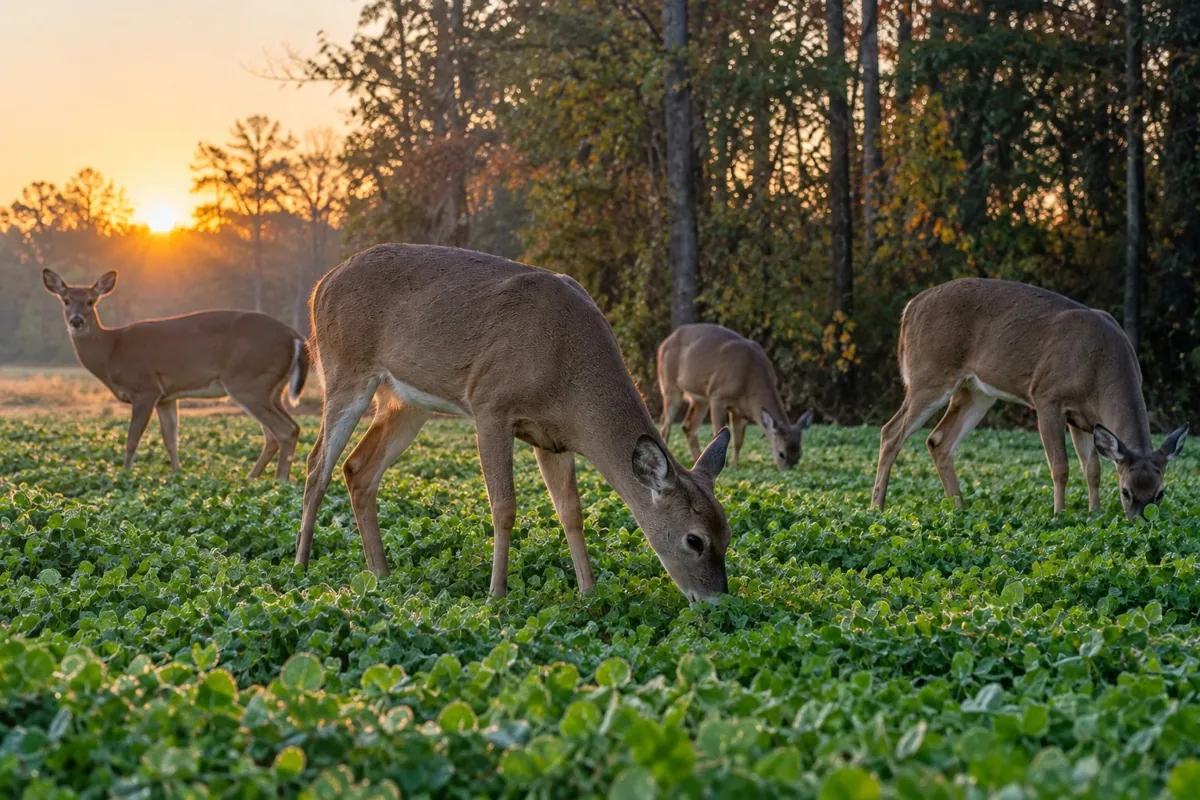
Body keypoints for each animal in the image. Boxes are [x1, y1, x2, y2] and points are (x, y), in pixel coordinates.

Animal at [42, 269, 309, 480]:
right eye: (66, 300)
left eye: (90, 301)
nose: (76, 321)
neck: (112, 351)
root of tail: (295, 337)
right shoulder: (167, 397)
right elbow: (171, 440)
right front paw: (176, 475)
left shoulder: (145, 388)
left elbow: (132, 438)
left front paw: (124, 476)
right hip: (271, 388)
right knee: (279, 432)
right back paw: (251, 479)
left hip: (248, 381)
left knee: (284, 430)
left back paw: (279, 483)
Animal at [294, 243, 733, 603]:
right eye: (695, 540)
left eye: (728, 534)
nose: (716, 602)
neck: (567, 368)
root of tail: (320, 286)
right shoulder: (490, 405)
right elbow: (504, 507)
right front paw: (497, 595)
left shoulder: (552, 438)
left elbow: (571, 512)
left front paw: (589, 593)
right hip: (345, 370)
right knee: (317, 465)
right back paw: (301, 568)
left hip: (406, 402)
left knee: (358, 468)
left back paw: (380, 574)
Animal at [657, 323, 814, 470]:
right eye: (782, 453)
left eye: (800, 455)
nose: (787, 470)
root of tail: (663, 343)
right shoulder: (717, 395)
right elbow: (718, 430)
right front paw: (726, 466)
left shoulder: (740, 410)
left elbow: (738, 441)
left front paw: (734, 465)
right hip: (670, 386)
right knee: (666, 425)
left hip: (700, 399)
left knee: (688, 426)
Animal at [871, 278, 1188, 520]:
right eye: (1125, 491)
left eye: (1160, 493)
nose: (1141, 522)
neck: (1100, 366)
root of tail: (910, 308)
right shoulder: (1047, 397)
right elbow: (1060, 467)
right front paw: (1059, 515)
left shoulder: (1083, 419)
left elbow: (1093, 469)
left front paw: (1094, 514)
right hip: (930, 373)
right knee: (891, 431)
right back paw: (877, 508)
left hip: (977, 391)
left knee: (938, 441)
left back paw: (959, 509)